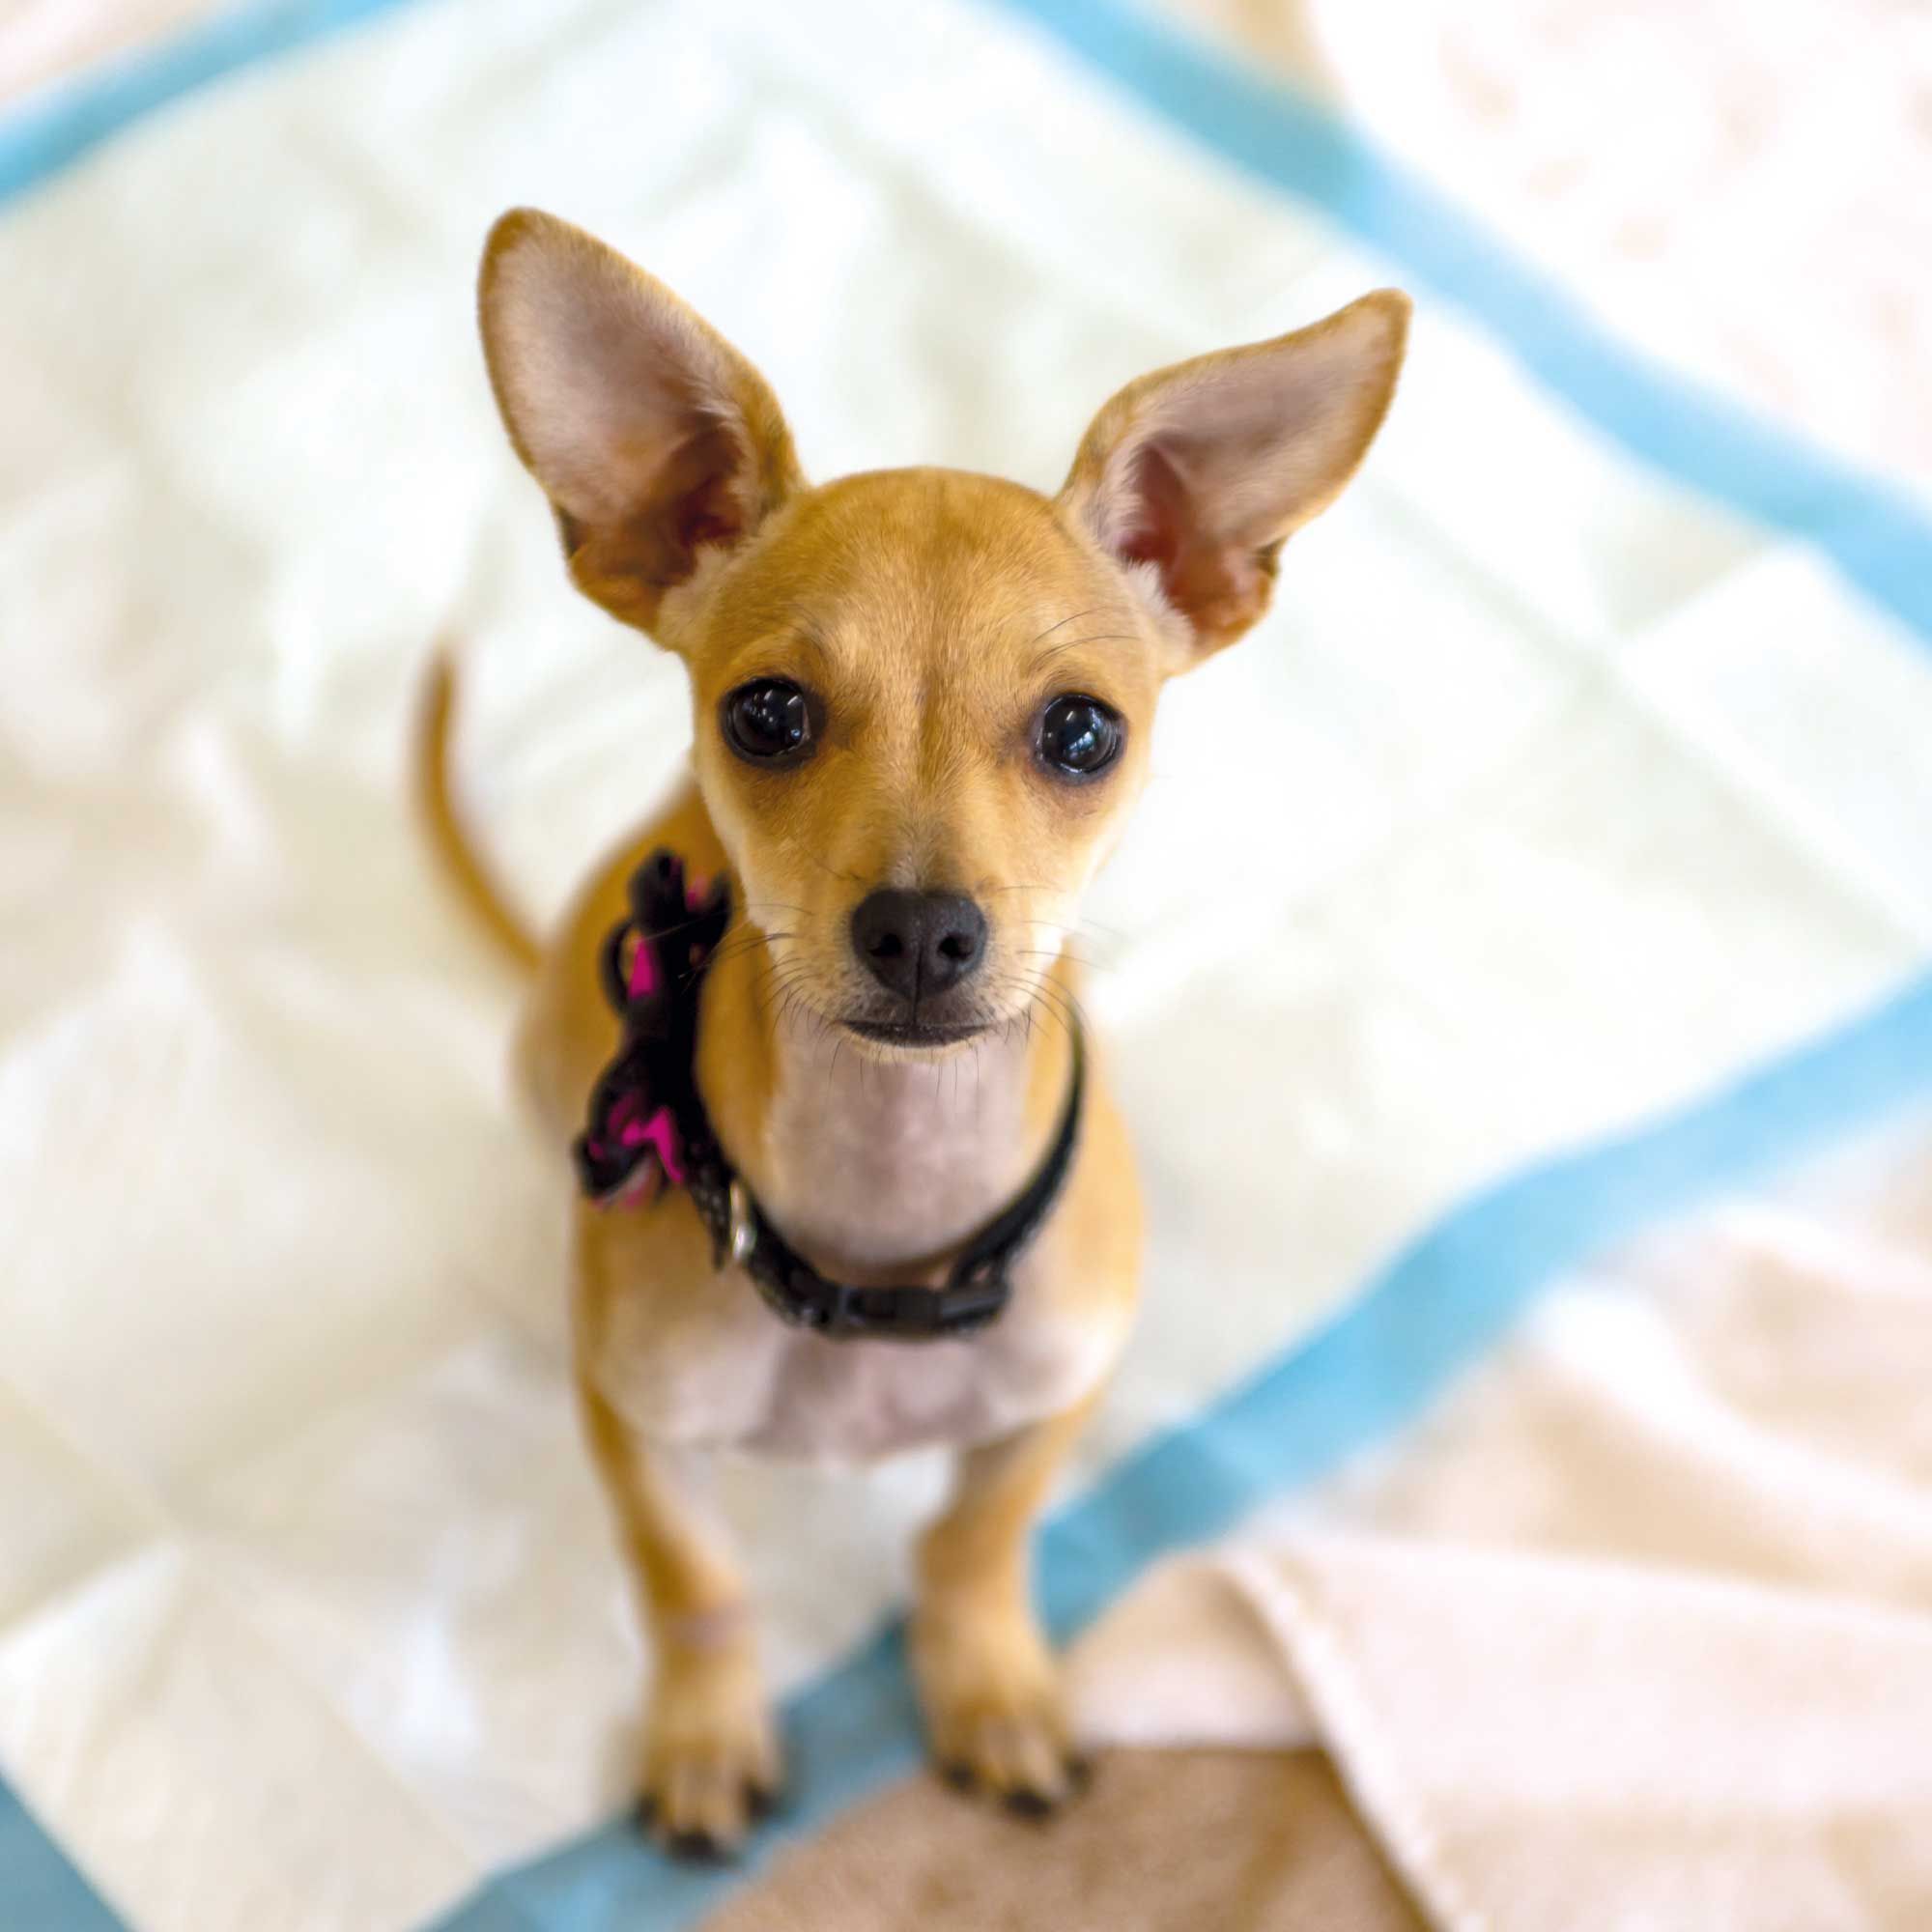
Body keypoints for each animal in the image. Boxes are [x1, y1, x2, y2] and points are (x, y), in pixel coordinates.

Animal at [423, 212, 1414, 1855]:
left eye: (1083, 732)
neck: (884, 1223)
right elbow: (695, 1587)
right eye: (766, 715)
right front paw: (705, 1733)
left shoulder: (1048, 1397)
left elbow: (968, 1546)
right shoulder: (640, 1431)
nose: (921, 933)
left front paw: (990, 1687)